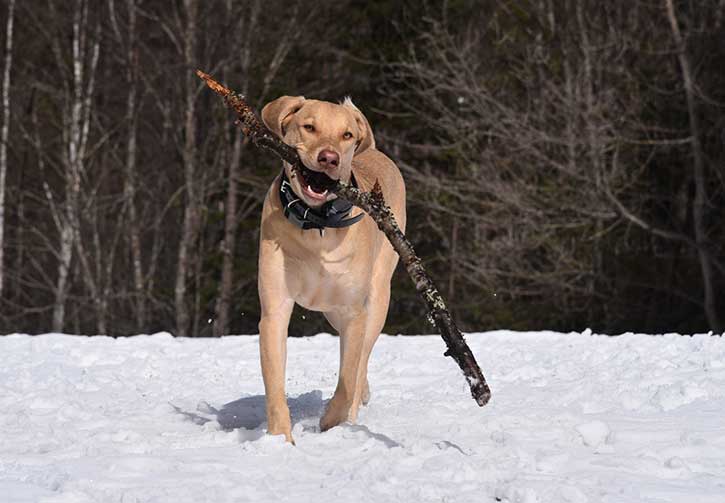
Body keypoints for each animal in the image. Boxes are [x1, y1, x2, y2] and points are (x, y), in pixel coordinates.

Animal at [258, 96, 408, 442]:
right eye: (309, 127)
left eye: (347, 135)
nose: (329, 158)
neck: (317, 226)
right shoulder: (275, 310)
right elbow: (275, 384)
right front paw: (280, 440)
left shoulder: (354, 312)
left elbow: (347, 377)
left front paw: (331, 421)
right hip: (331, 311)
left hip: (377, 299)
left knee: (362, 360)